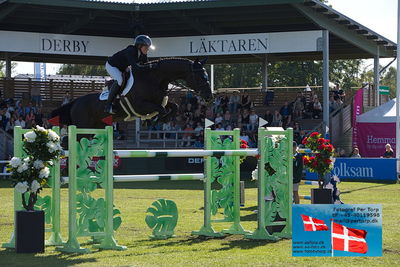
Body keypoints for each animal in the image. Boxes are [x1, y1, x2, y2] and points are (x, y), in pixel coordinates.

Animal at [51, 58, 214, 129]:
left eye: (207, 76)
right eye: (201, 77)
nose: (209, 97)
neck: (154, 79)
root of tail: (75, 102)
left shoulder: (160, 101)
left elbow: (173, 107)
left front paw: (161, 120)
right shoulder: (140, 105)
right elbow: (161, 109)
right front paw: (153, 120)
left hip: (98, 126)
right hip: (83, 126)